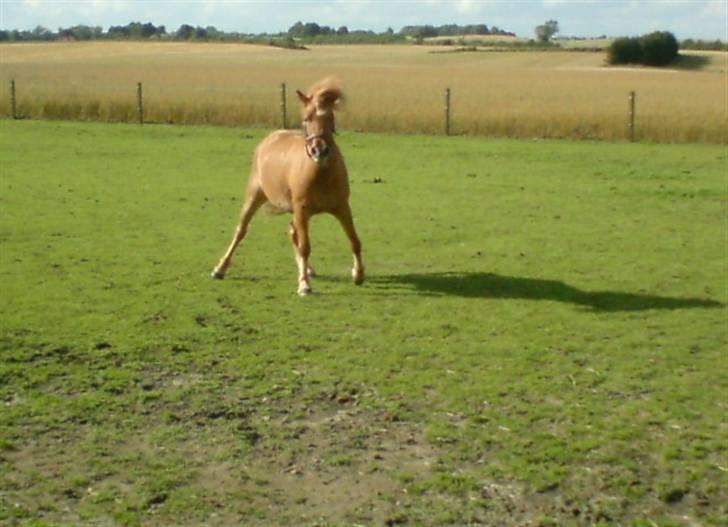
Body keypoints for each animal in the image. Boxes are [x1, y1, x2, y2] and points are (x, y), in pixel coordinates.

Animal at [210, 77, 364, 296]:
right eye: (306, 118)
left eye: (330, 117)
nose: (320, 151)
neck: (321, 173)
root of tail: (270, 138)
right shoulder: (302, 209)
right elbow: (305, 246)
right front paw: (304, 285)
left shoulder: (342, 208)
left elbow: (354, 240)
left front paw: (358, 274)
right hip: (255, 197)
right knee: (241, 230)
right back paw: (220, 268)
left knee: (292, 233)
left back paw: (307, 269)